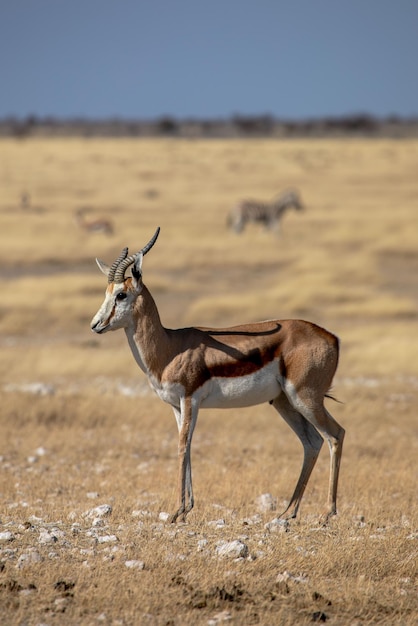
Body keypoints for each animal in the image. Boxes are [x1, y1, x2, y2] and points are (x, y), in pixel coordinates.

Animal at [90, 227, 342, 520]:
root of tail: (332, 338)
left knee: (335, 435)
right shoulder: (176, 405)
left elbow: (182, 445)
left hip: (306, 398)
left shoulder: (190, 399)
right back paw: (287, 513)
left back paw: (328, 513)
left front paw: (177, 511)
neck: (170, 348)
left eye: (121, 294)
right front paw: (186, 509)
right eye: (106, 292)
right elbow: (186, 446)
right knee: (311, 442)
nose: (95, 325)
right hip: (284, 402)